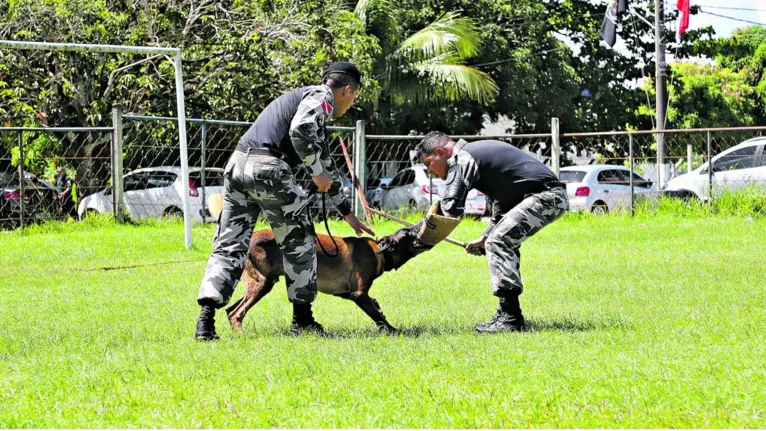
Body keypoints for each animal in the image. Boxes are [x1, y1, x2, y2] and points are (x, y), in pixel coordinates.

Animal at [226, 223, 432, 334]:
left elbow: (377, 309)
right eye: (408, 232)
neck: (380, 251)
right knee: (236, 313)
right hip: (263, 283)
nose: (423, 221)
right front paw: (393, 331)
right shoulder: (358, 294)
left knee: (229, 310)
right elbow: (378, 317)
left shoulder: (345, 292)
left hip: (258, 283)